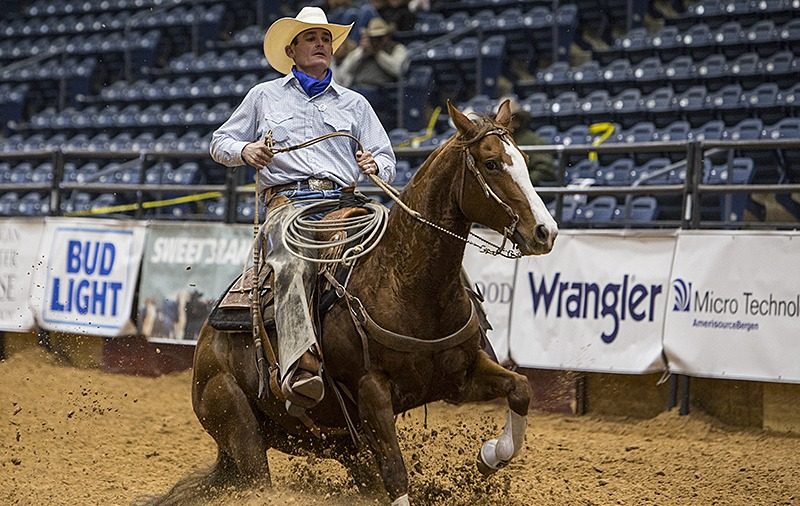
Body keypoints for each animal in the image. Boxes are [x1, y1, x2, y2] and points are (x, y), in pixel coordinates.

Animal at [145, 100, 558, 505]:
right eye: (491, 163)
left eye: (523, 158)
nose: (546, 232)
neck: (406, 284)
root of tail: (203, 343)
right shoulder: (371, 392)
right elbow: (395, 474)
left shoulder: (459, 376)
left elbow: (521, 388)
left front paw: (490, 455)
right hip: (238, 423)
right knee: (258, 479)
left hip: (337, 441)